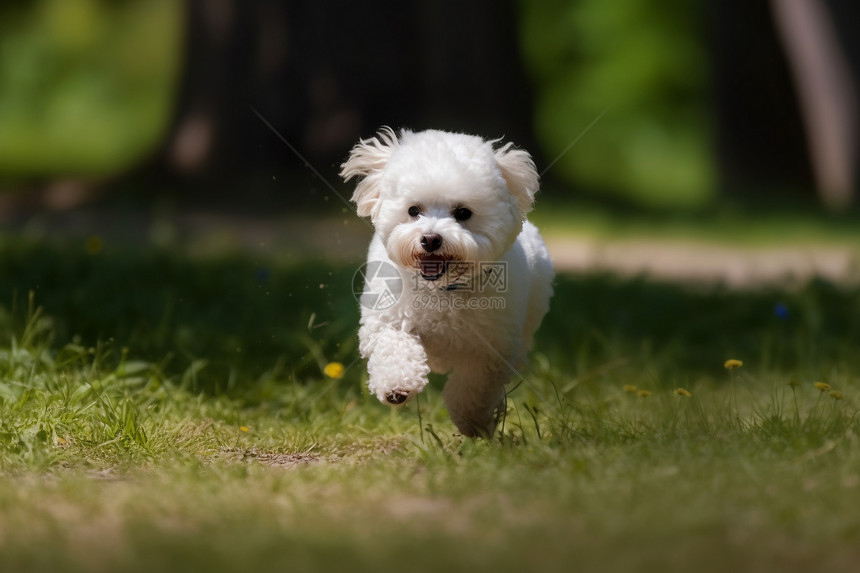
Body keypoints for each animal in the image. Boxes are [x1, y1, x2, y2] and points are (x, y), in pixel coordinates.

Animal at [340, 127, 556, 436]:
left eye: (463, 213)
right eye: (413, 210)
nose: (430, 239)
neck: (440, 290)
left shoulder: (488, 352)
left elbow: (471, 389)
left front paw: (473, 422)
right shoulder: (387, 319)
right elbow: (392, 343)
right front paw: (397, 386)